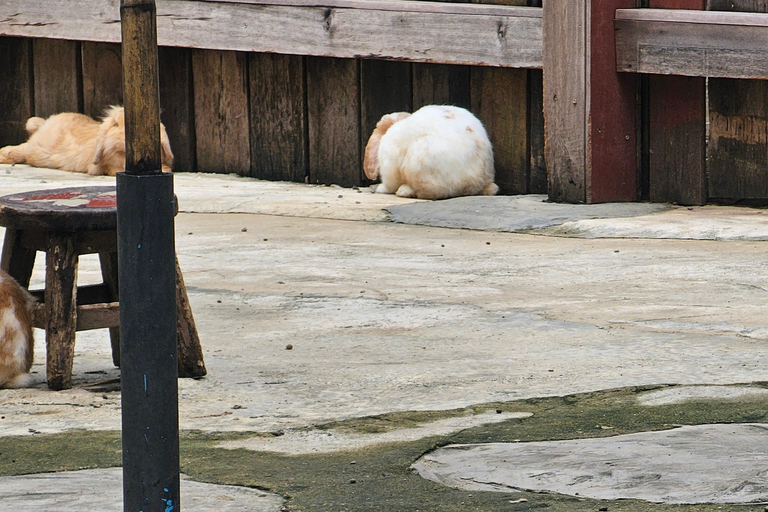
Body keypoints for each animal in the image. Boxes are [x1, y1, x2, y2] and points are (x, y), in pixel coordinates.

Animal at [364, 104, 498, 200]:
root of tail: (476, 181)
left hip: (417, 163)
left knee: (431, 193)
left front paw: (381, 189)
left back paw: (404, 191)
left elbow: (389, 184)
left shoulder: (389, 167)